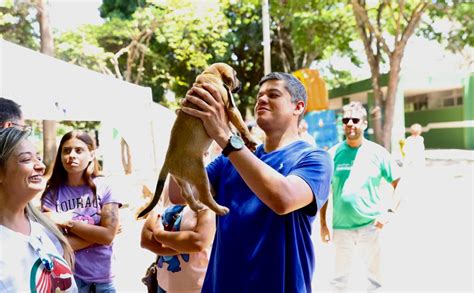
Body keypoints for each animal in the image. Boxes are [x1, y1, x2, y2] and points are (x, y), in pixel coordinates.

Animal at [137, 62, 258, 217]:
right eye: (236, 75)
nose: (241, 84)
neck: (211, 75)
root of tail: (168, 162)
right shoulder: (232, 109)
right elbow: (241, 124)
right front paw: (249, 139)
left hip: (181, 180)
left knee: (186, 194)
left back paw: (196, 207)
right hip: (200, 174)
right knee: (205, 196)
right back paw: (220, 209)